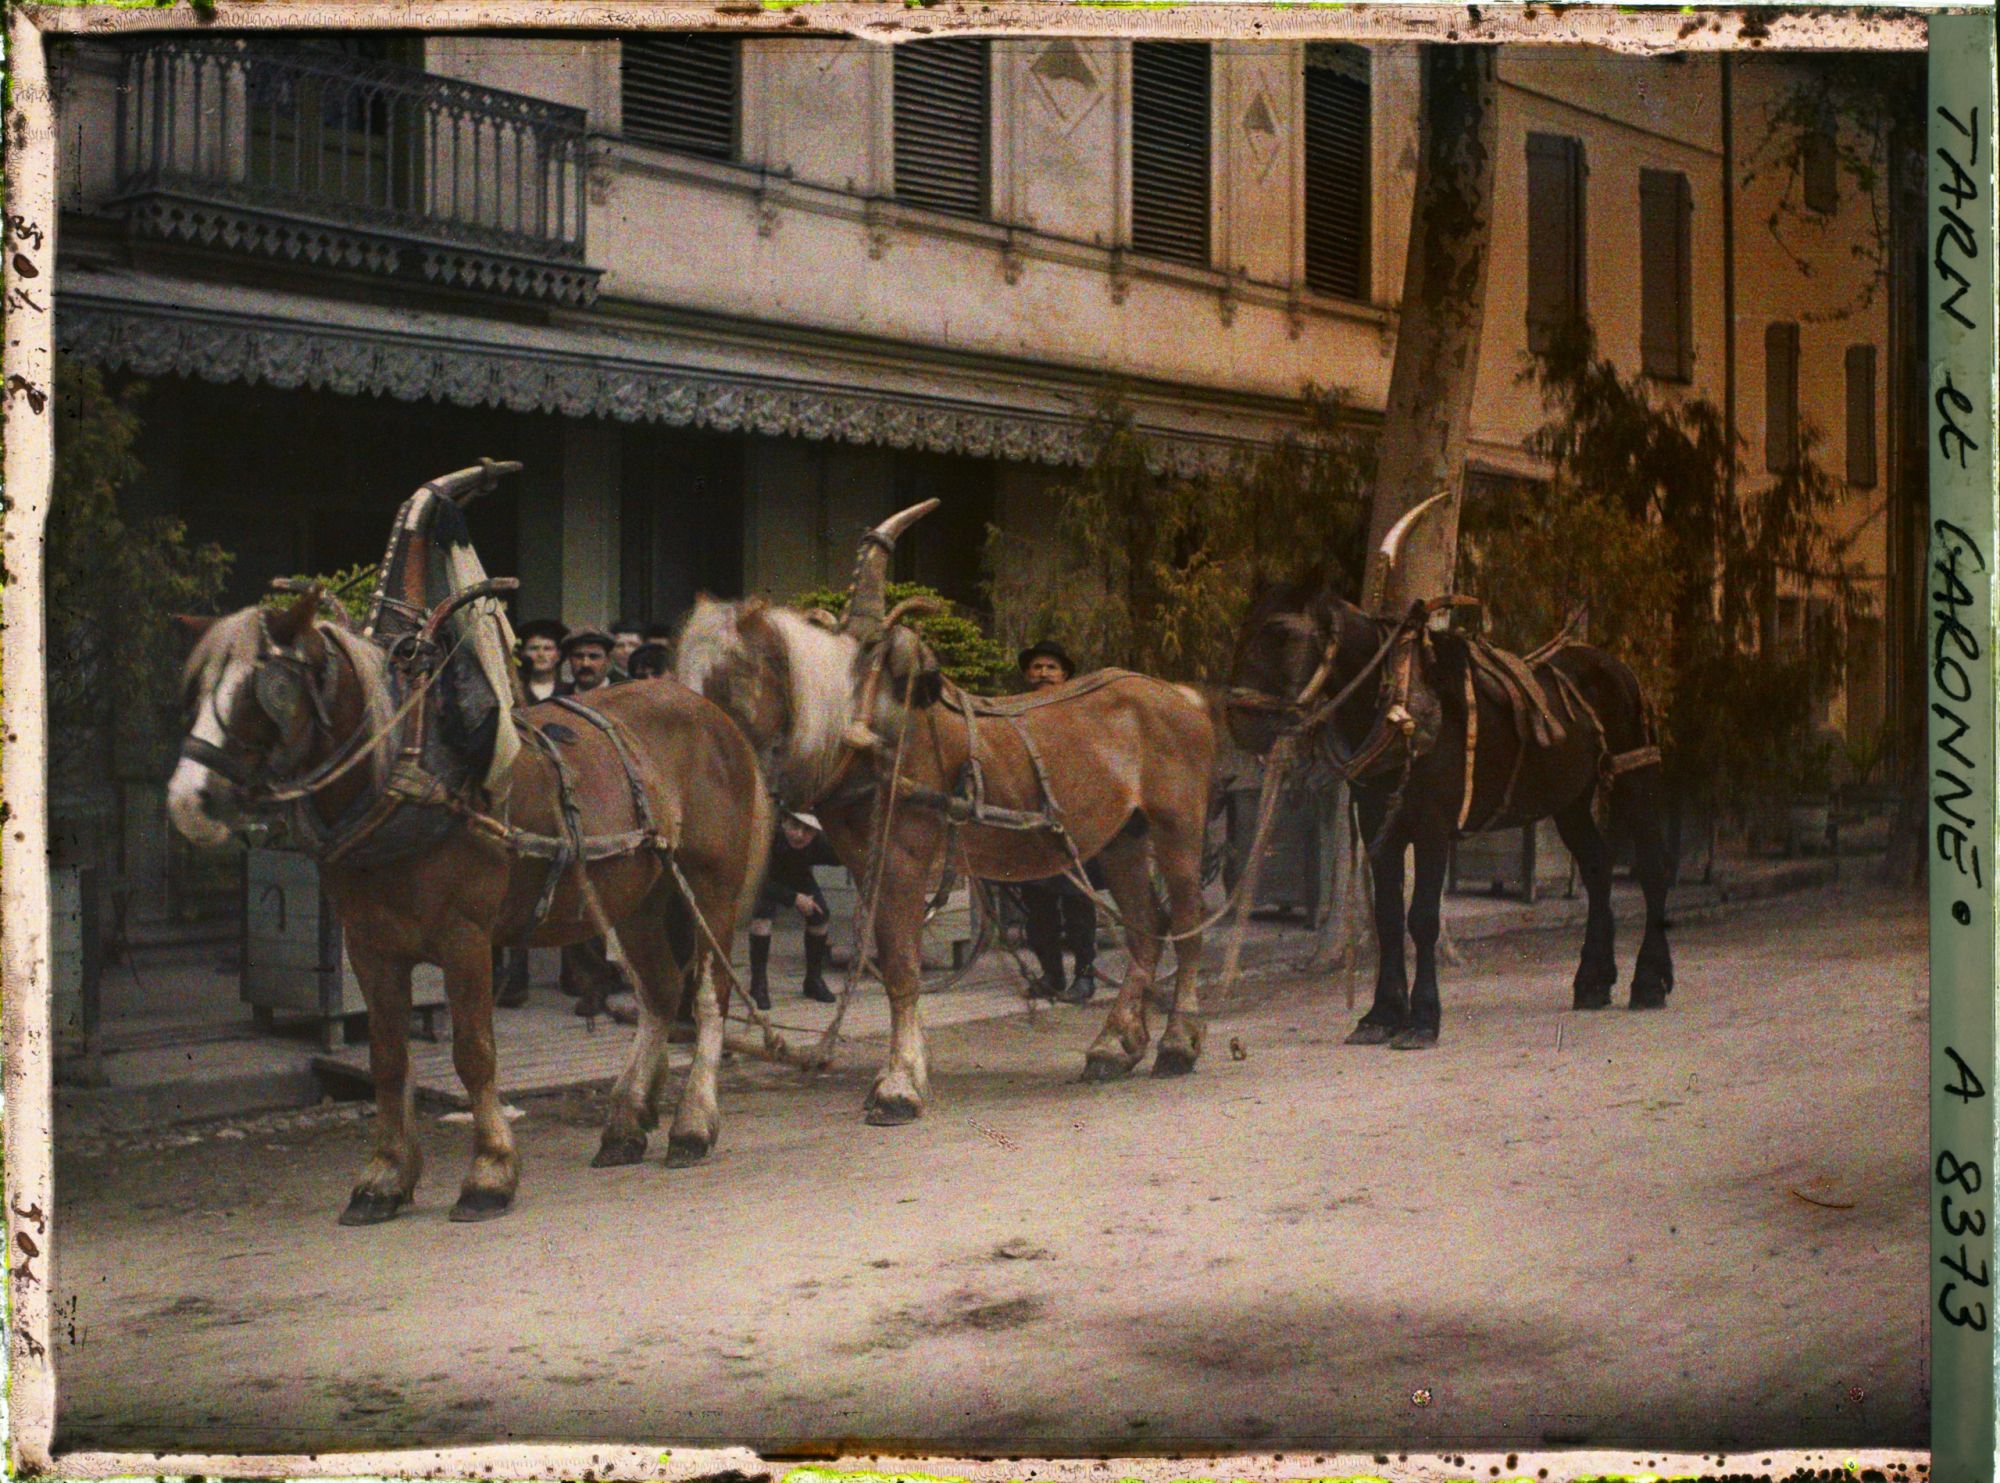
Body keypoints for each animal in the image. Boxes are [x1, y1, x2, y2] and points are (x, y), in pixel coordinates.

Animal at [168, 586, 769, 1224]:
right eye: (195, 688)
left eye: (268, 691)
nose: (187, 800)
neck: (411, 778)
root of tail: (711, 713)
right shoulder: (369, 946)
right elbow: (388, 1059)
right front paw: (385, 1177)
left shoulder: (466, 939)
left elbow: (474, 1053)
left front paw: (489, 1173)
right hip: (637, 897)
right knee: (659, 991)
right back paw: (625, 1124)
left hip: (711, 888)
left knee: (708, 996)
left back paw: (693, 1125)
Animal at [676, 502, 1218, 1123]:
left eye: (732, 673)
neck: (868, 725)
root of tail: (1181, 695)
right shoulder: (863, 859)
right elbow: (887, 952)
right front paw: (911, 1066)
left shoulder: (906, 855)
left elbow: (901, 960)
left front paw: (899, 1083)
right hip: (1123, 836)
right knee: (1146, 928)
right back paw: (1113, 1046)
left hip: (1178, 825)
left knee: (1188, 920)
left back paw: (1177, 1043)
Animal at [1225, 495, 1675, 1049]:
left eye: (1279, 632)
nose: (1237, 720)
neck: (1397, 697)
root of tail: (1617, 667)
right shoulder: (1378, 824)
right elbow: (1388, 918)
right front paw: (1380, 1013)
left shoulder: (1433, 827)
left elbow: (1421, 917)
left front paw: (1422, 1018)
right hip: (1569, 797)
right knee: (1596, 868)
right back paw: (1593, 978)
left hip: (1634, 777)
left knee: (1651, 868)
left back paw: (1649, 979)